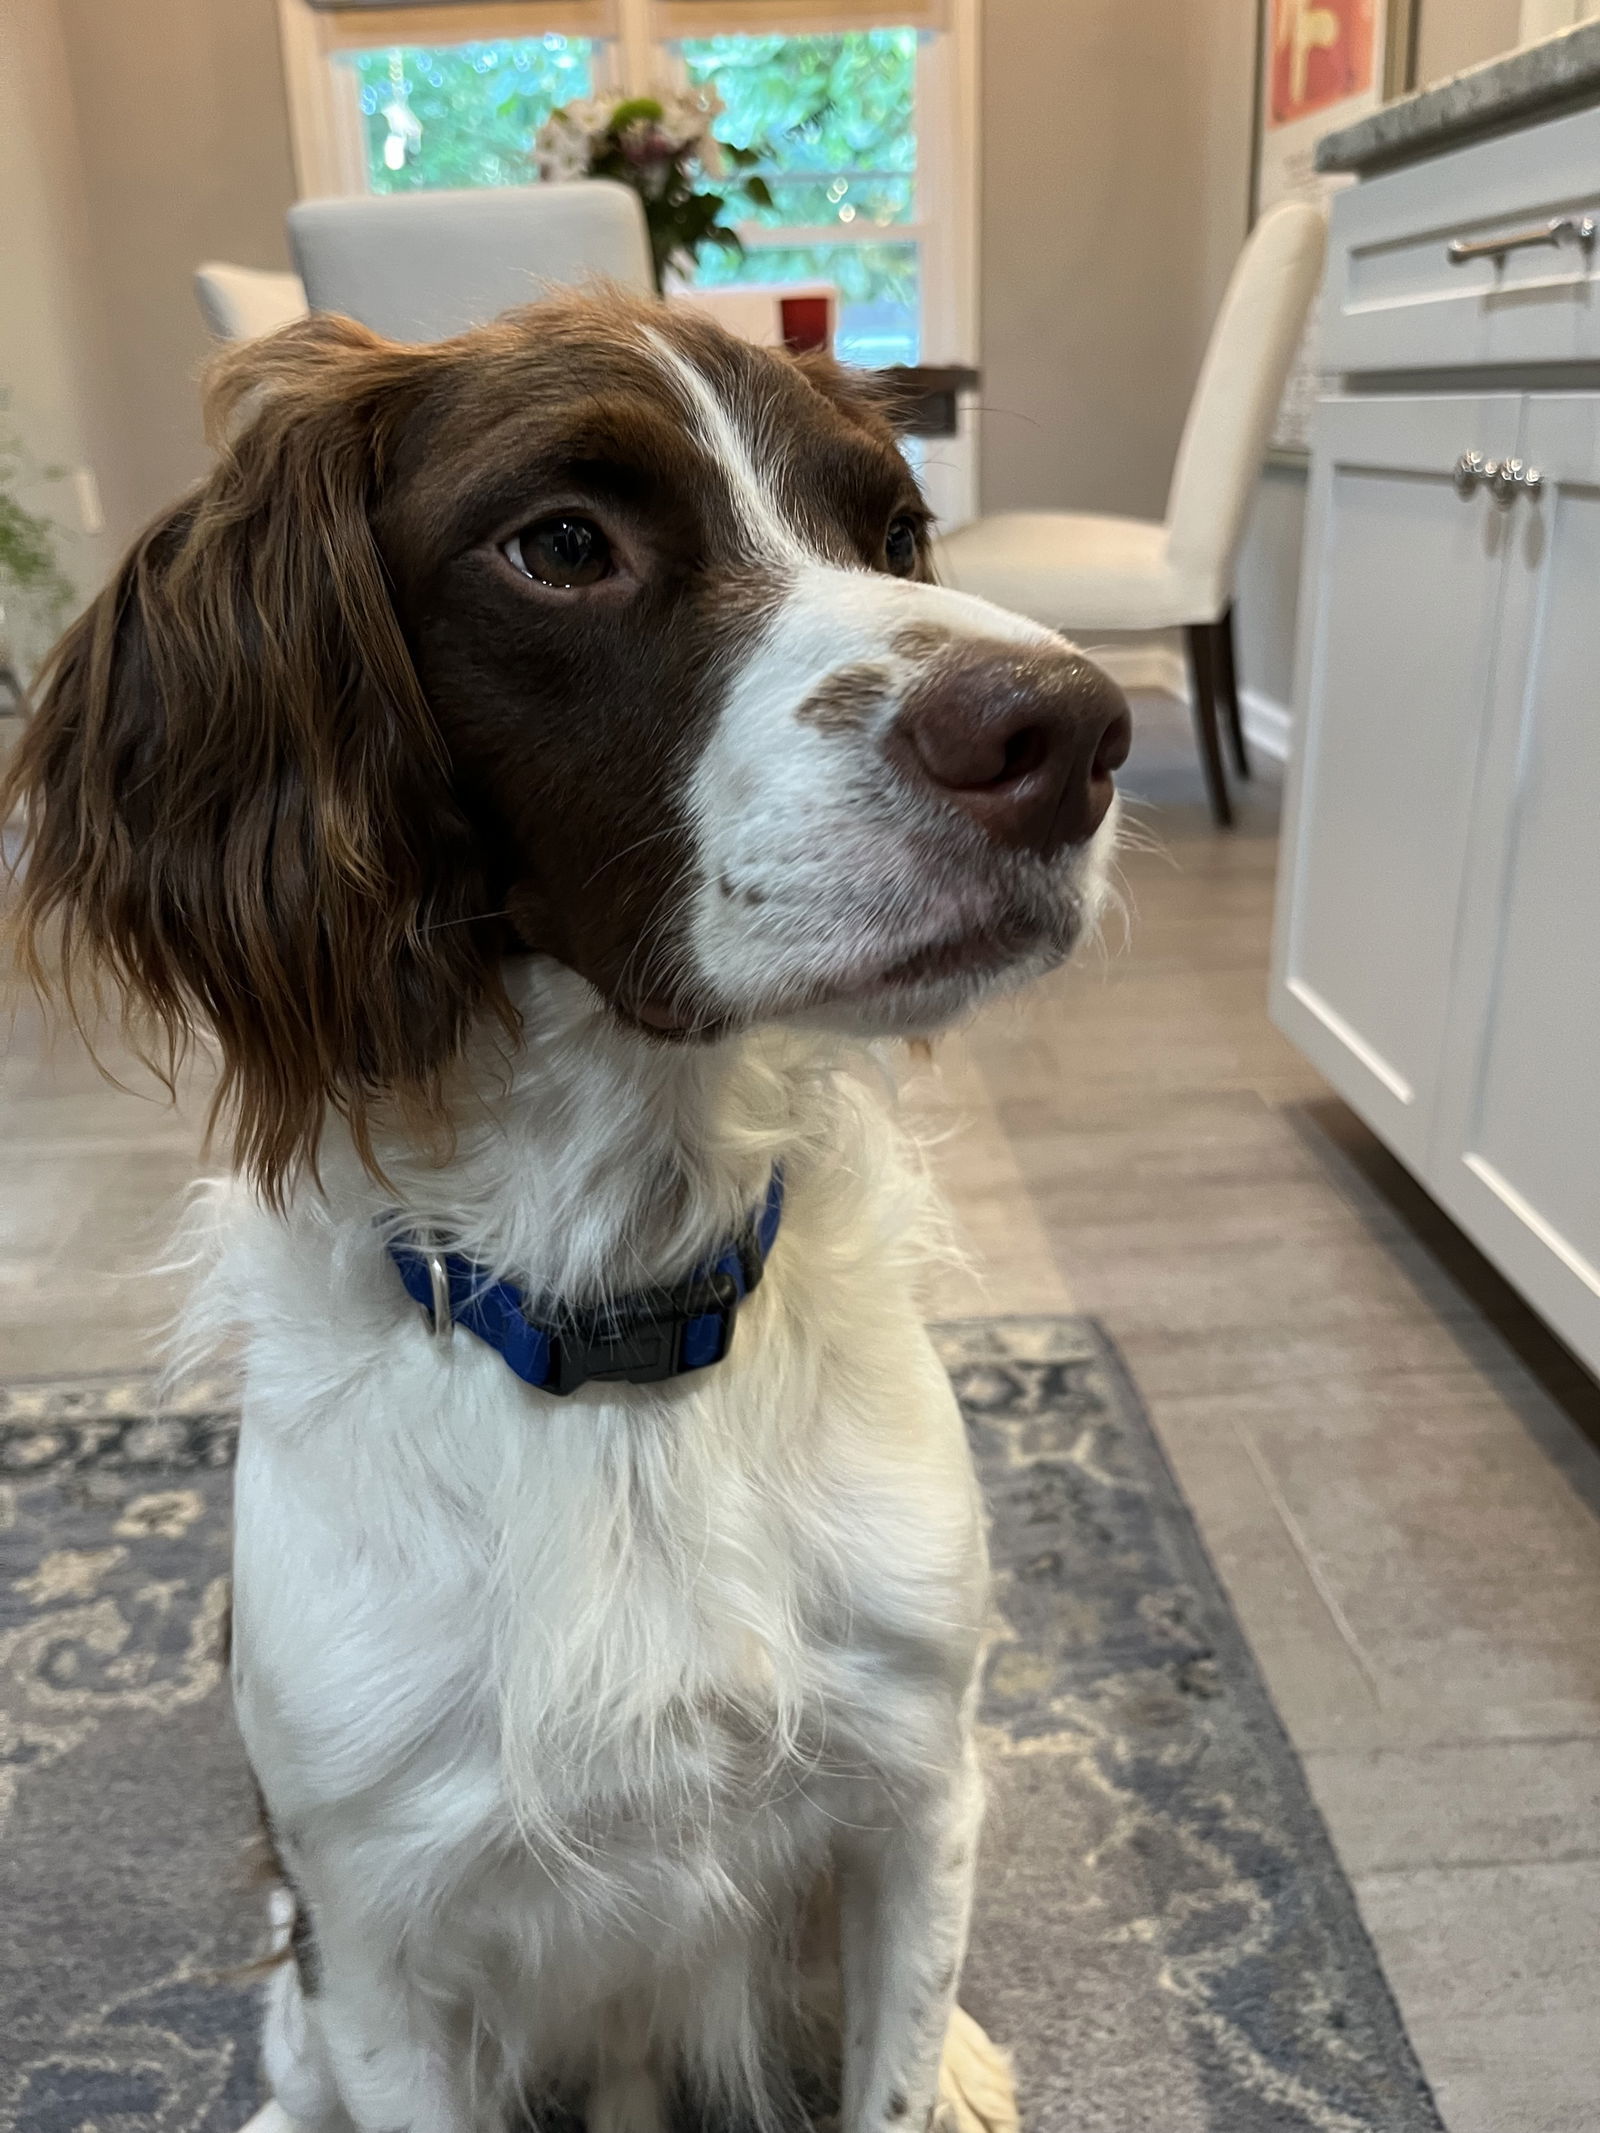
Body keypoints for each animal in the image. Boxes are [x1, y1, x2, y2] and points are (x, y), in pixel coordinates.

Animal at [3, 296, 1126, 2133]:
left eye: (895, 533)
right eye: (563, 546)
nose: (1073, 735)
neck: (622, 1325)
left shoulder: (910, 1784)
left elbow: (889, 2053)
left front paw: (935, 2060)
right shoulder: (372, 1927)